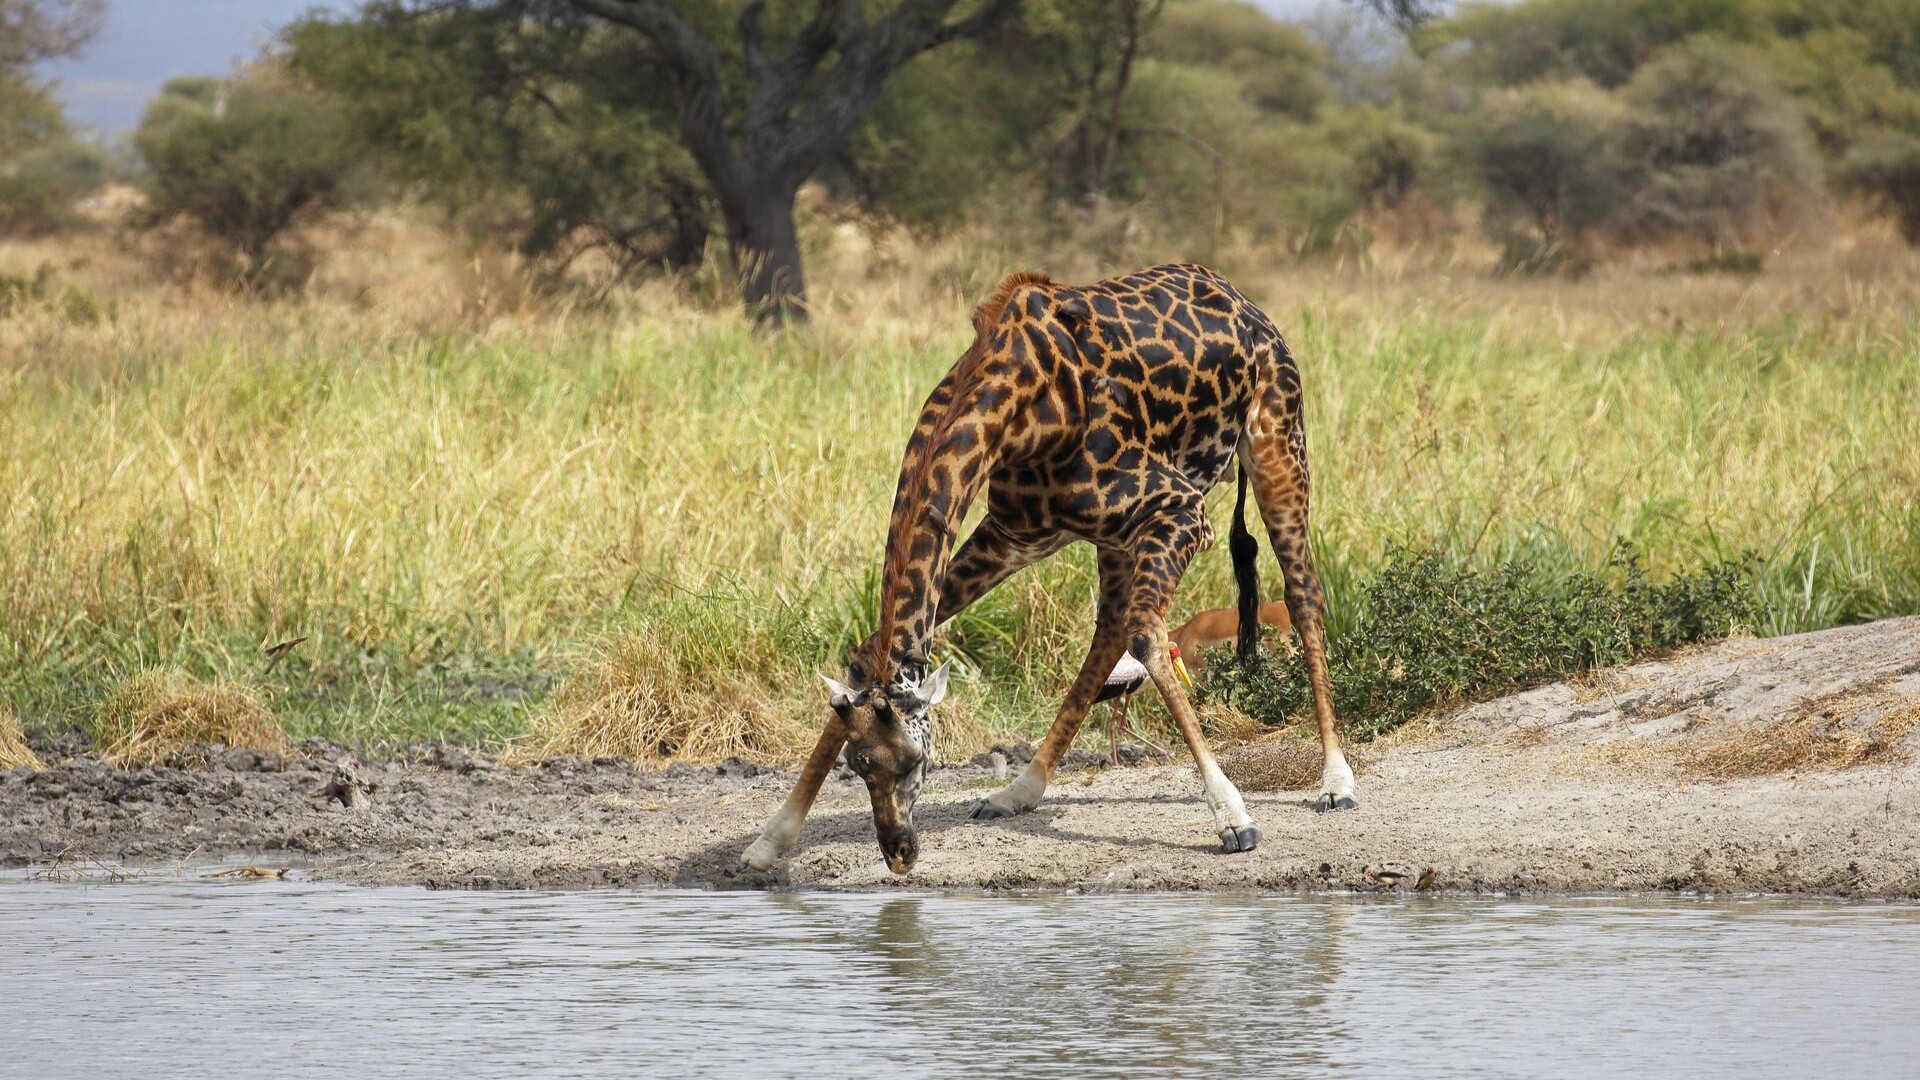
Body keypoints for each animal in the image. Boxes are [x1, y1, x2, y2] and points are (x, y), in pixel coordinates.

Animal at [740, 263, 1357, 875]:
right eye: (858, 762)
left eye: (917, 759)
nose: (899, 853)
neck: (1022, 411)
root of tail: (1247, 303)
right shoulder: (1013, 536)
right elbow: (871, 652)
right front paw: (770, 840)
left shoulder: (1182, 510)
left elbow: (1149, 637)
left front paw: (1234, 818)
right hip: (1116, 537)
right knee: (1108, 630)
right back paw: (1020, 790)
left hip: (1278, 448)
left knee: (1303, 595)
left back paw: (1336, 782)